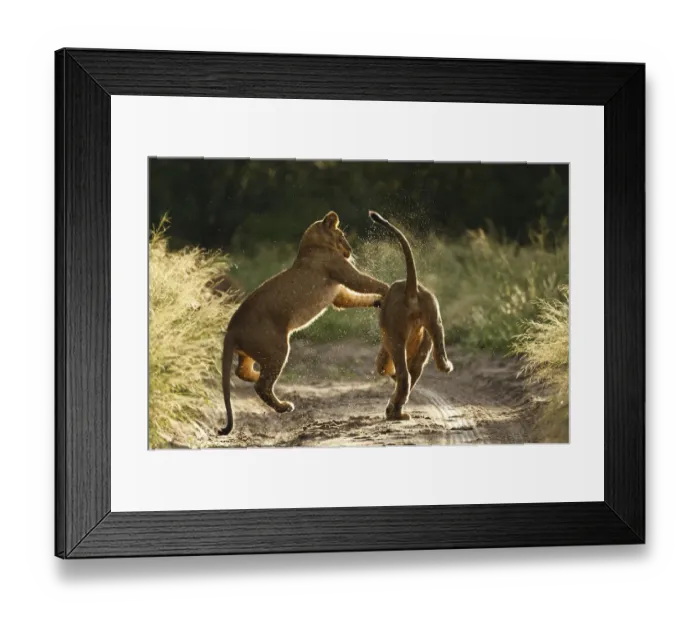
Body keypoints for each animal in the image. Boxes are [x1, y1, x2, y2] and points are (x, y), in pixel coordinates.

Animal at [219, 211, 389, 435]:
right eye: (342, 236)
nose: (350, 251)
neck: (311, 245)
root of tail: (232, 327)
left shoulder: (339, 295)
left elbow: (354, 298)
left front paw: (379, 301)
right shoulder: (344, 272)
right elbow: (367, 282)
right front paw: (390, 289)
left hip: (251, 351)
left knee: (242, 372)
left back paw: (258, 376)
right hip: (277, 348)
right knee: (261, 386)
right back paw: (283, 406)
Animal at [369, 211, 453, 421]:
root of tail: (411, 288)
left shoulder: (387, 345)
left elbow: (383, 367)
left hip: (395, 338)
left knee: (404, 376)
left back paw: (394, 412)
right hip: (435, 323)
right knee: (432, 361)